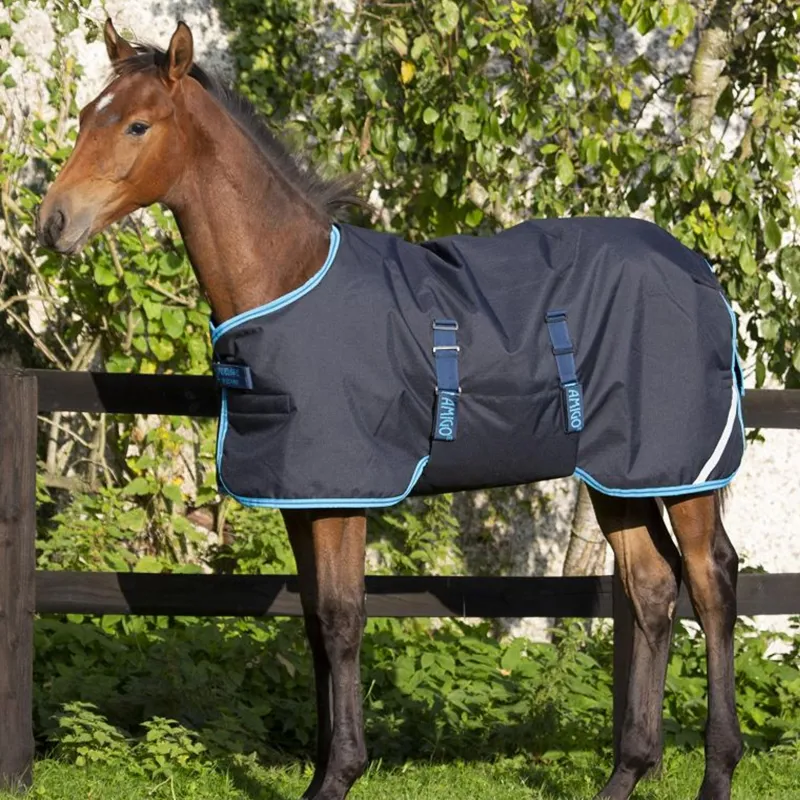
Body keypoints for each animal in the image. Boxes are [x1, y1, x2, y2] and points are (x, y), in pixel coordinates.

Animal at [37, 20, 745, 800]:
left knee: (712, 583)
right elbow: (314, 624)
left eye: (137, 124)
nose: (52, 222)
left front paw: (339, 775)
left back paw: (718, 770)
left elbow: (343, 620)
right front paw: (323, 771)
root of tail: (699, 271)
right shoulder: (304, 499)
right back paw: (627, 772)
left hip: (684, 472)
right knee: (651, 588)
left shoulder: (346, 497)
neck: (287, 277)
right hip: (622, 477)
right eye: (84, 117)